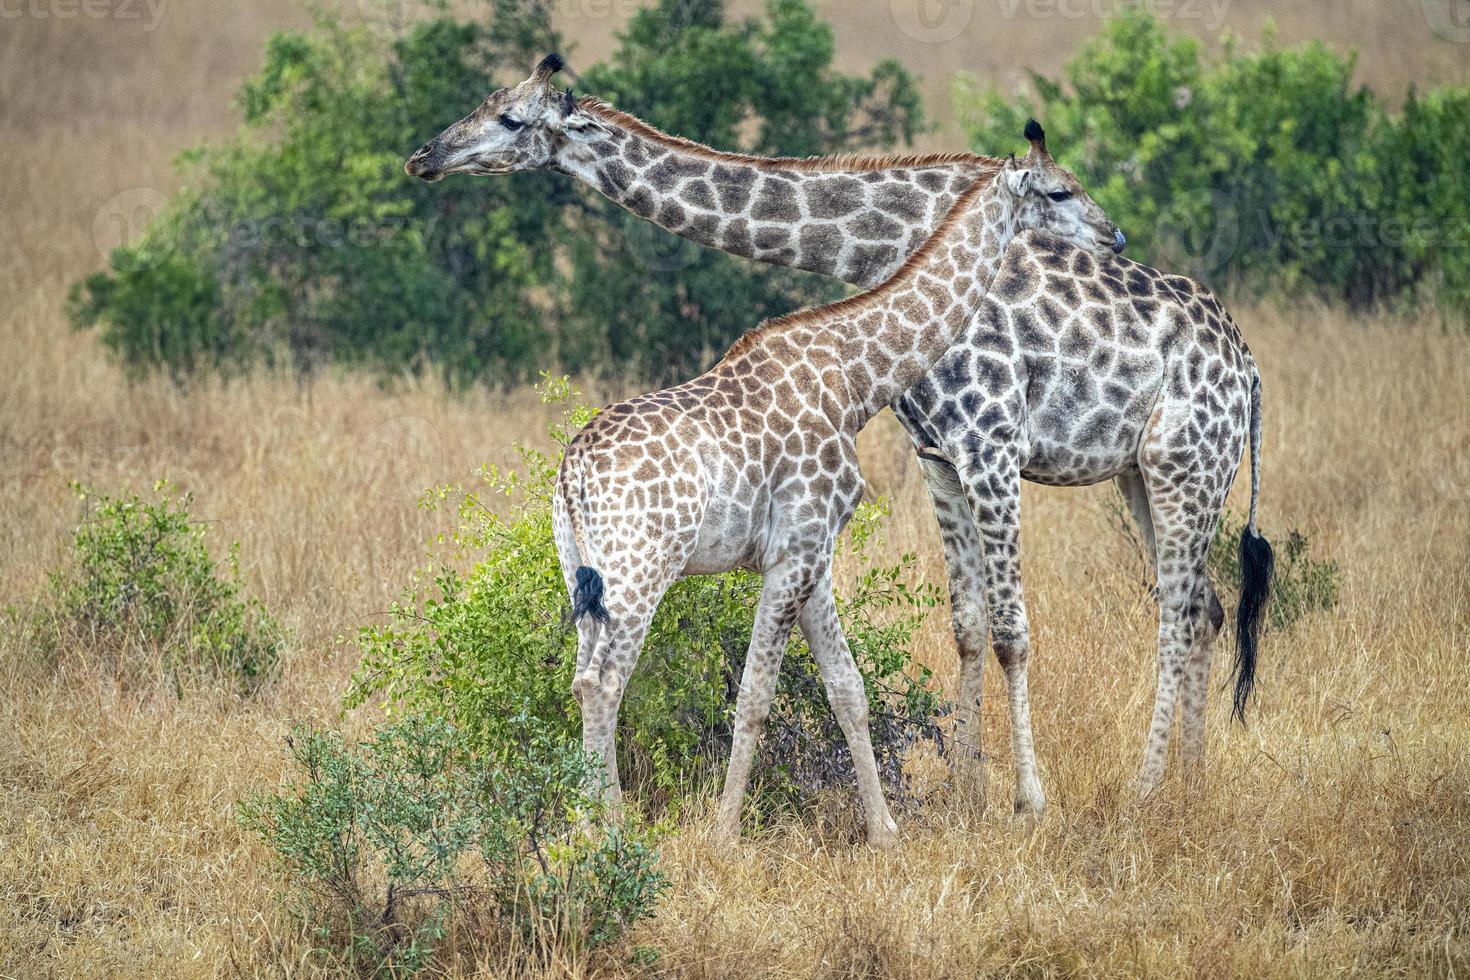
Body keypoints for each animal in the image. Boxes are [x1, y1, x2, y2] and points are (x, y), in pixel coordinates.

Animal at [405, 57, 1275, 816]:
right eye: (486, 103)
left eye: (509, 117)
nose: (424, 157)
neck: (873, 244)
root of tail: (1250, 370)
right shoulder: (939, 454)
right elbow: (965, 629)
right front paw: (967, 795)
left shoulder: (992, 443)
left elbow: (1009, 632)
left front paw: (1026, 800)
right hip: (1139, 473)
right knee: (1202, 607)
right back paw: (1191, 784)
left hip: (1185, 463)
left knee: (1178, 612)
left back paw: (1149, 791)